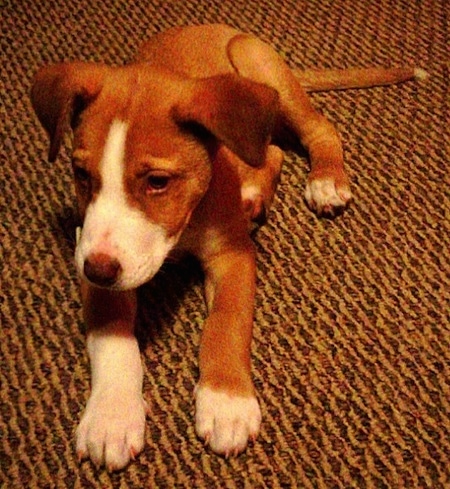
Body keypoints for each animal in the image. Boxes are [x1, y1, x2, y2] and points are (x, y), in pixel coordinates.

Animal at [31, 24, 426, 470]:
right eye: (81, 174)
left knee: (317, 130)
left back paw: (325, 180)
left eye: (158, 181)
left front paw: (226, 402)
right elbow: (112, 336)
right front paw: (111, 416)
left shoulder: (232, 255)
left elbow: (226, 323)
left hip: (263, 69)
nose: (97, 270)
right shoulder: (91, 246)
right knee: (271, 149)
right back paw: (252, 193)